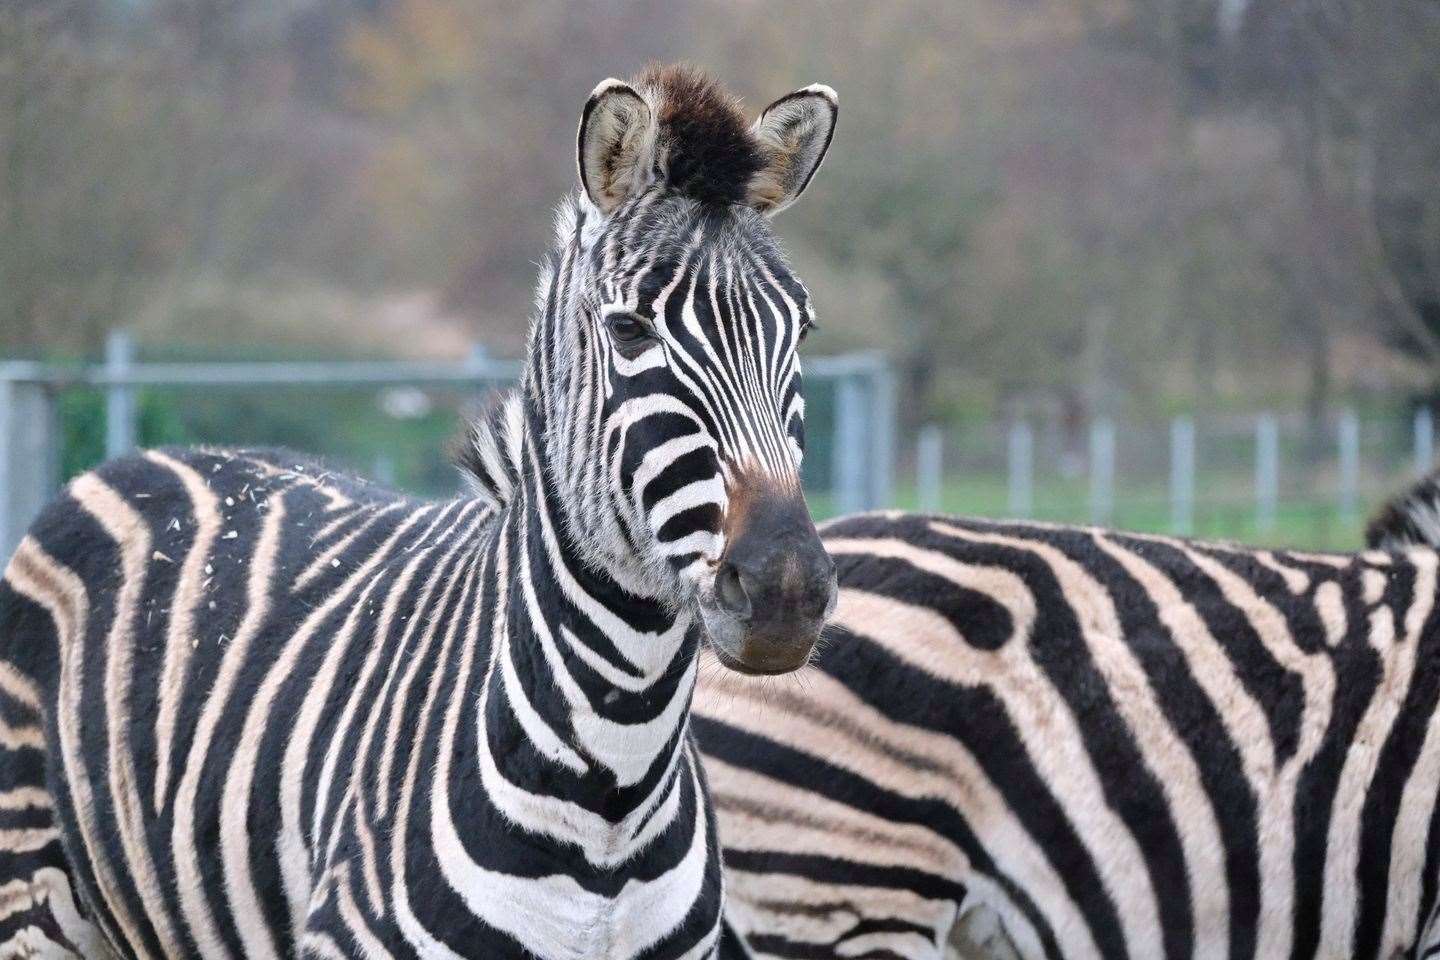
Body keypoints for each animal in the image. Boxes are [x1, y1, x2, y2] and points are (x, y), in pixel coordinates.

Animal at [0, 63, 840, 955]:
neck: (615, 785)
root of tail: (142, 458)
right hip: (33, 896)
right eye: (630, 331)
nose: (786, 591)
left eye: (800, 333)